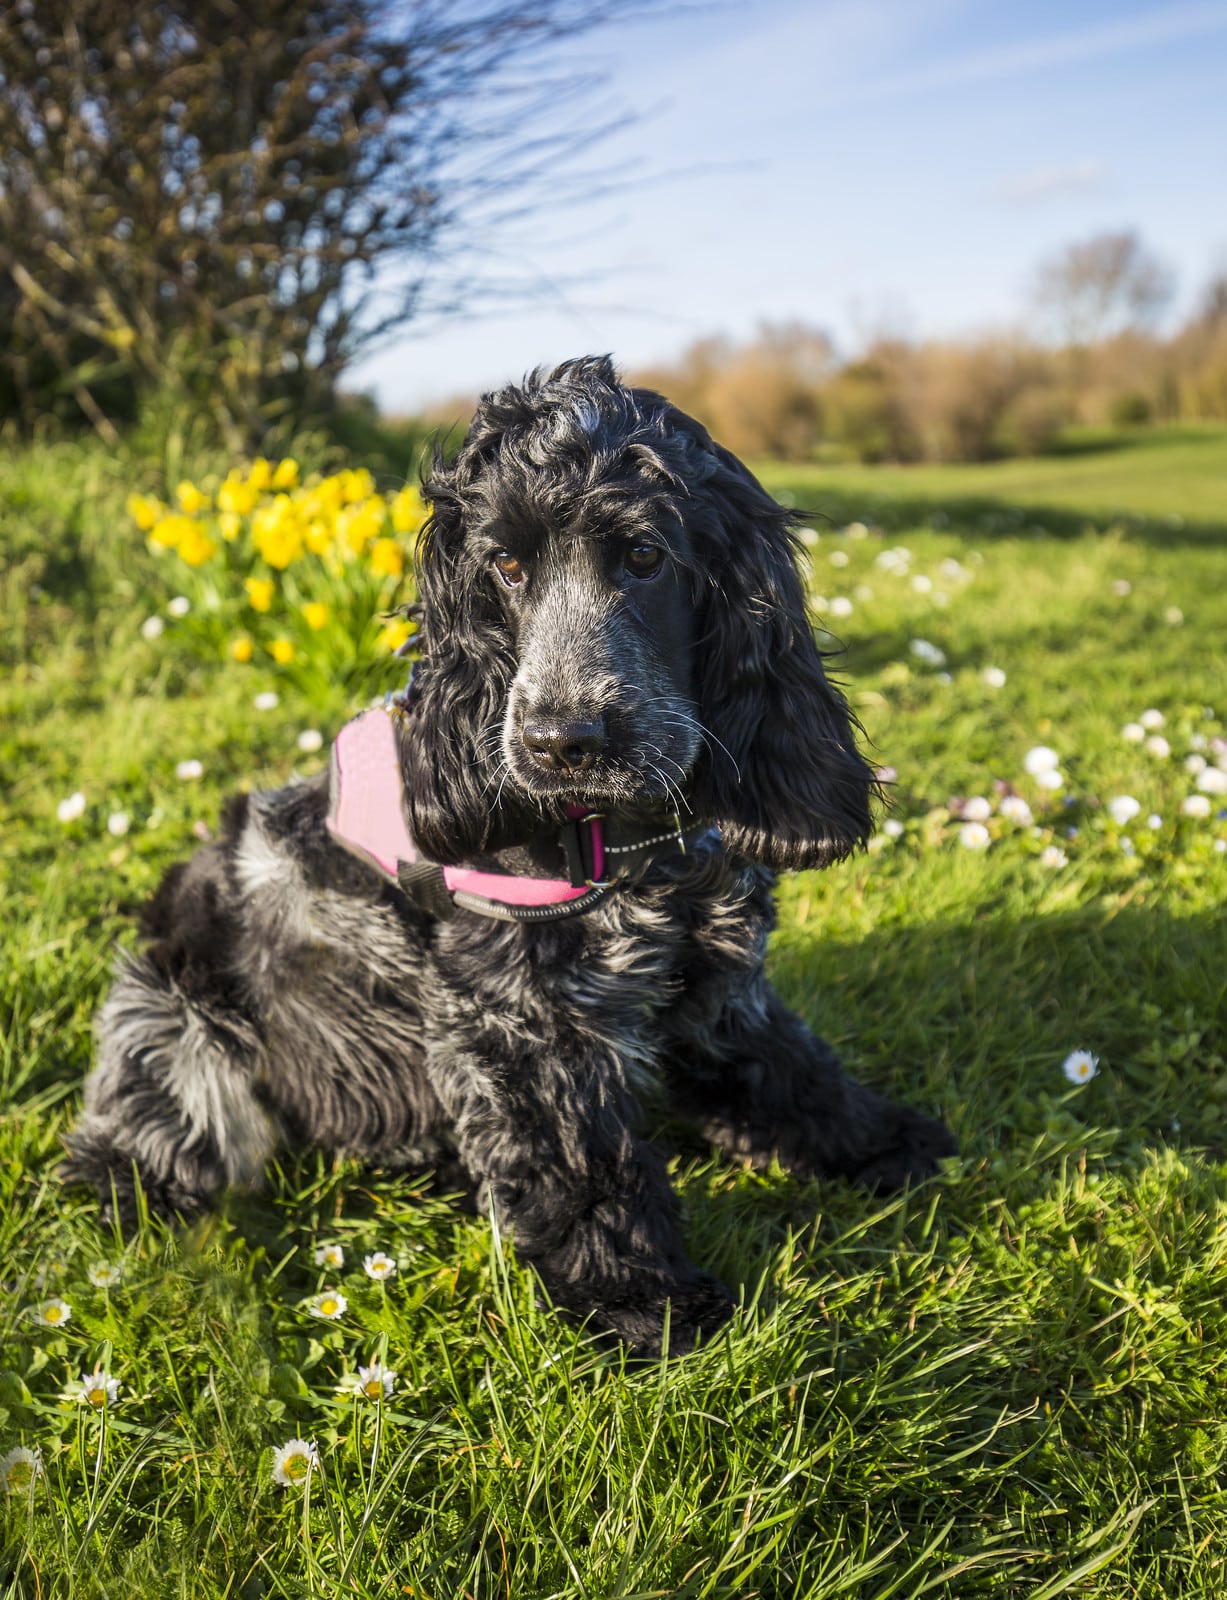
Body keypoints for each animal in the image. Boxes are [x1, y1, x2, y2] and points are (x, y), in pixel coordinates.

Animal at [62, 360, 953, 1350]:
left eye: (645, 557)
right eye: (507, 565)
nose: (562, 741)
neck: (630, 840)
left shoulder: (718, 980)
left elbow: (788, 1068)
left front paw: (882, 1141)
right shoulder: (520, 1023)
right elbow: (583, 1168)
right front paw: (643, 1302)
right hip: (175, 1031)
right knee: (137, 1146)